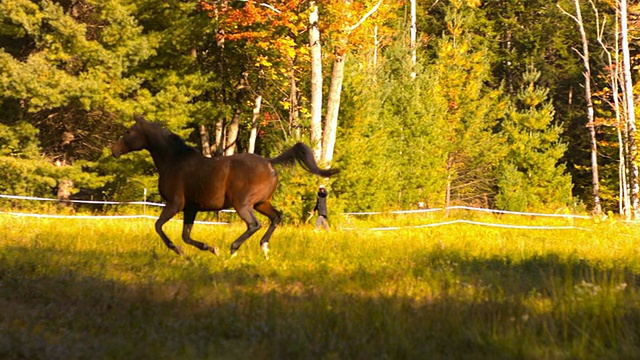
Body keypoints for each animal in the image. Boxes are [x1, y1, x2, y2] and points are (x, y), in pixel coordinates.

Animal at [112, 114, 340, 258]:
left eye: (128, 131)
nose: (114, 150)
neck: (174, 161)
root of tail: (269, 163)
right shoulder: (191, 208)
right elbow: (186, 235)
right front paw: (210, 248)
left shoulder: (175, 204)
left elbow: (159, 227)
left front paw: (181, 252)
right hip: (261, 203)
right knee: (276, 217)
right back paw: (264, 248)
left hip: (242, 204)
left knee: (254, 224)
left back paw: (234, 249)